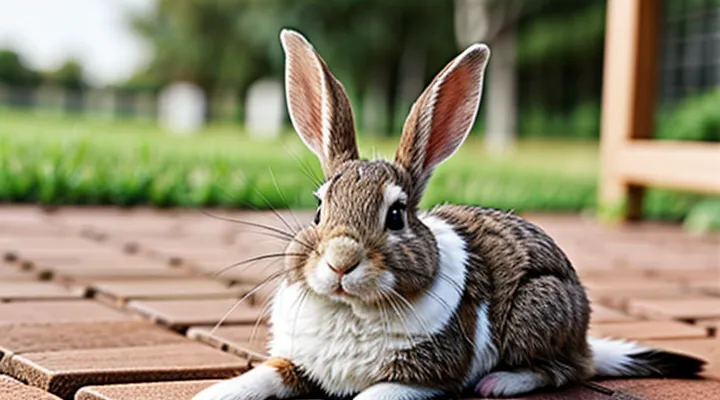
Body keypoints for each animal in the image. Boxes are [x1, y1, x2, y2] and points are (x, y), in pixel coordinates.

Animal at [193, 29, 705, 400]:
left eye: (396, 215)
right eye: (319, 208)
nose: (341, 261)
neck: (351, 307)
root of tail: (584, 337)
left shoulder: (419, 378)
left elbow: (376, 395)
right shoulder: (298, 362)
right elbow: (263, 377)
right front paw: (211, 395)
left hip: (541, 305)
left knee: (566, 369)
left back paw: (500, 383)